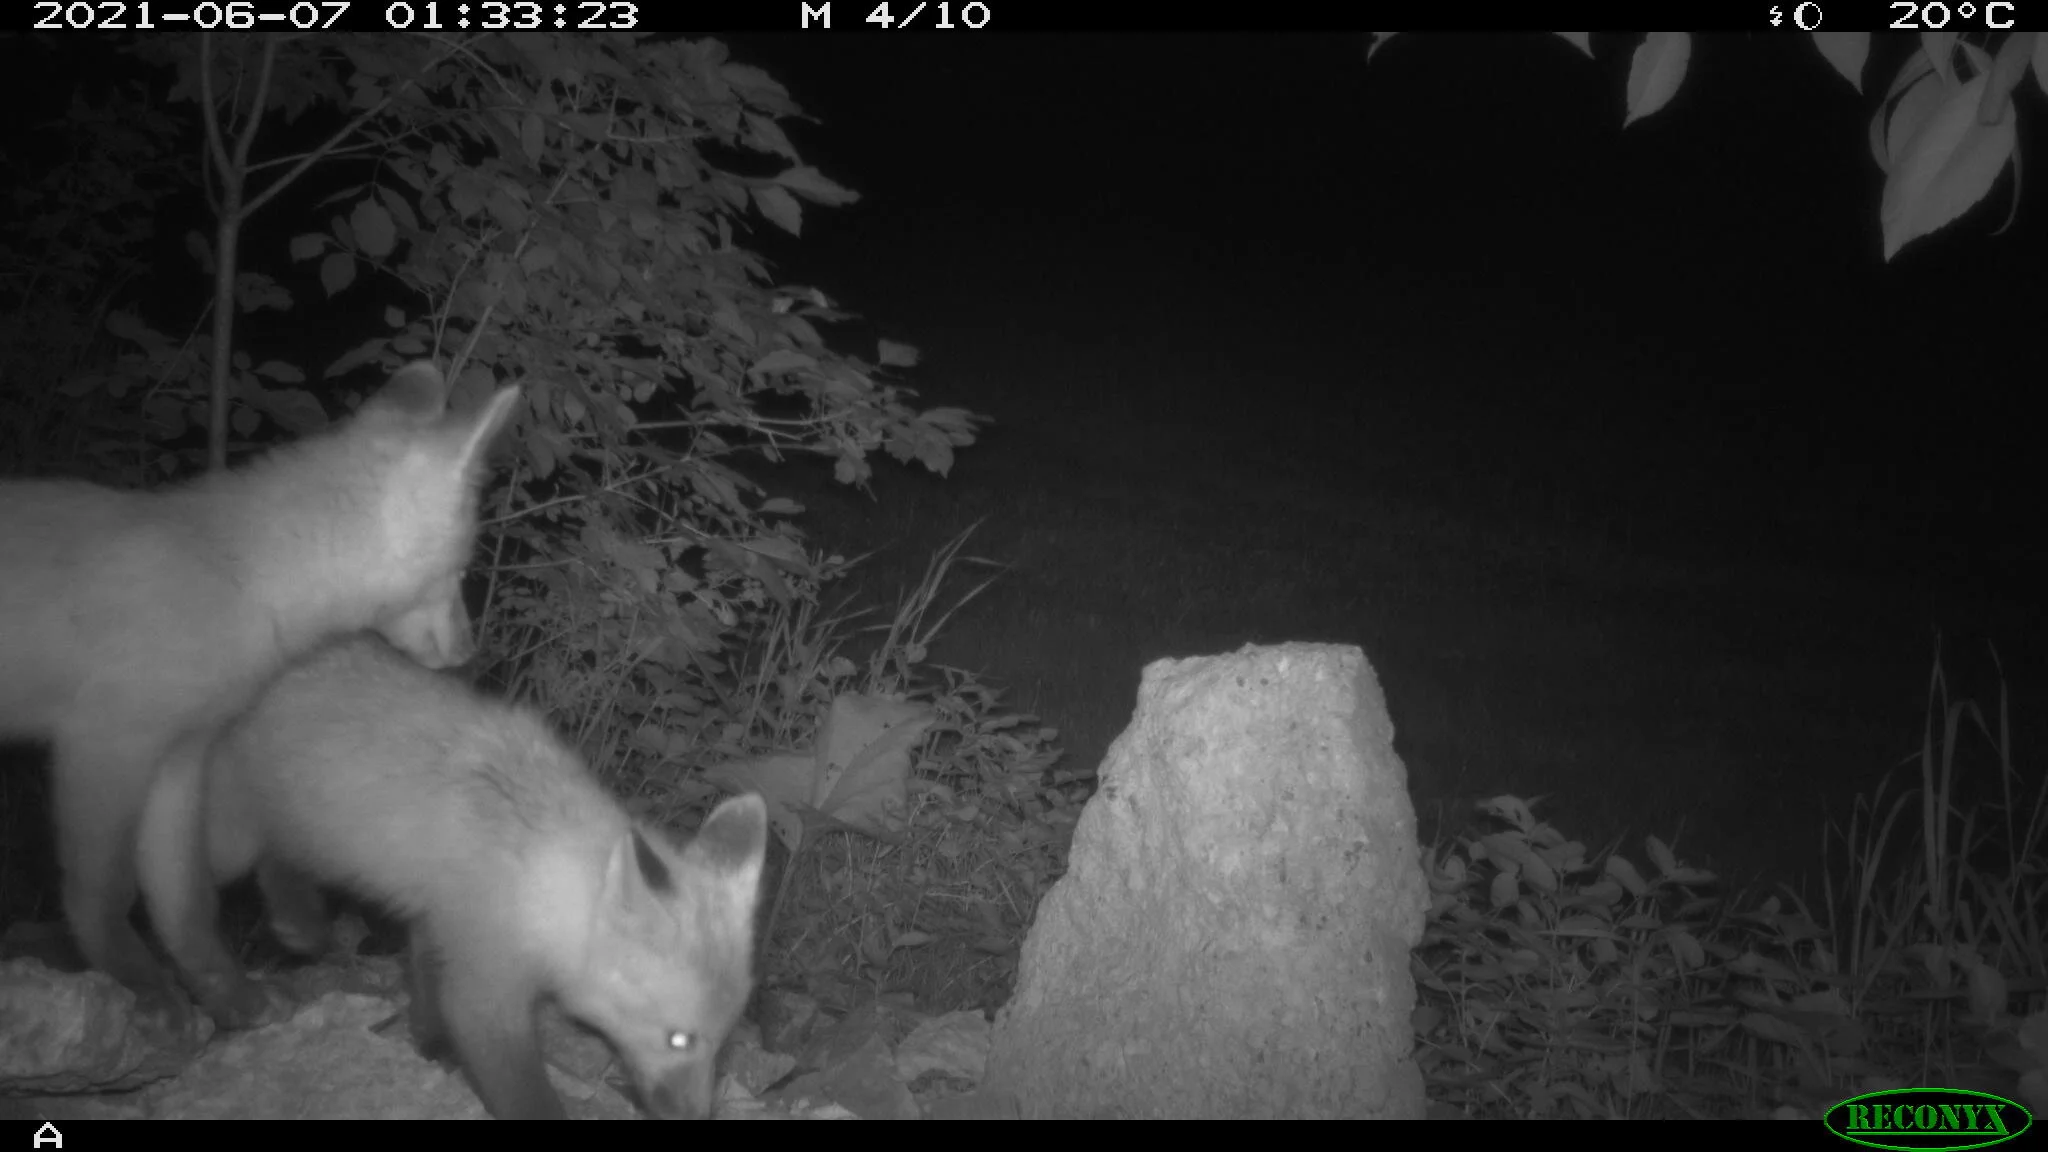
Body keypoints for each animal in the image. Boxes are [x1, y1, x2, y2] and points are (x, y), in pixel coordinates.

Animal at [0, 361, 518, 1022]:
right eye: (462, 571)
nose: (468, 652)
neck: (242, 581)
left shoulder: (180, 752)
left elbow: (185, 899)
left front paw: (232, 998)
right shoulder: (106, 737)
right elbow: (105, 890)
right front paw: (143, 988)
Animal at [145, 636, 769, 1121]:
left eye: (724, 1042)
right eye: (679, 1038)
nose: (695, 1115)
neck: (534, 873)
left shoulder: (439, 921)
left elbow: (424, 987)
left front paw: (429, 1044)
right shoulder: (485, 985)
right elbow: (525, 1096)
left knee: (279, 863)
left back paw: (297, 925)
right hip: (223, 840)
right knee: (170, 889)